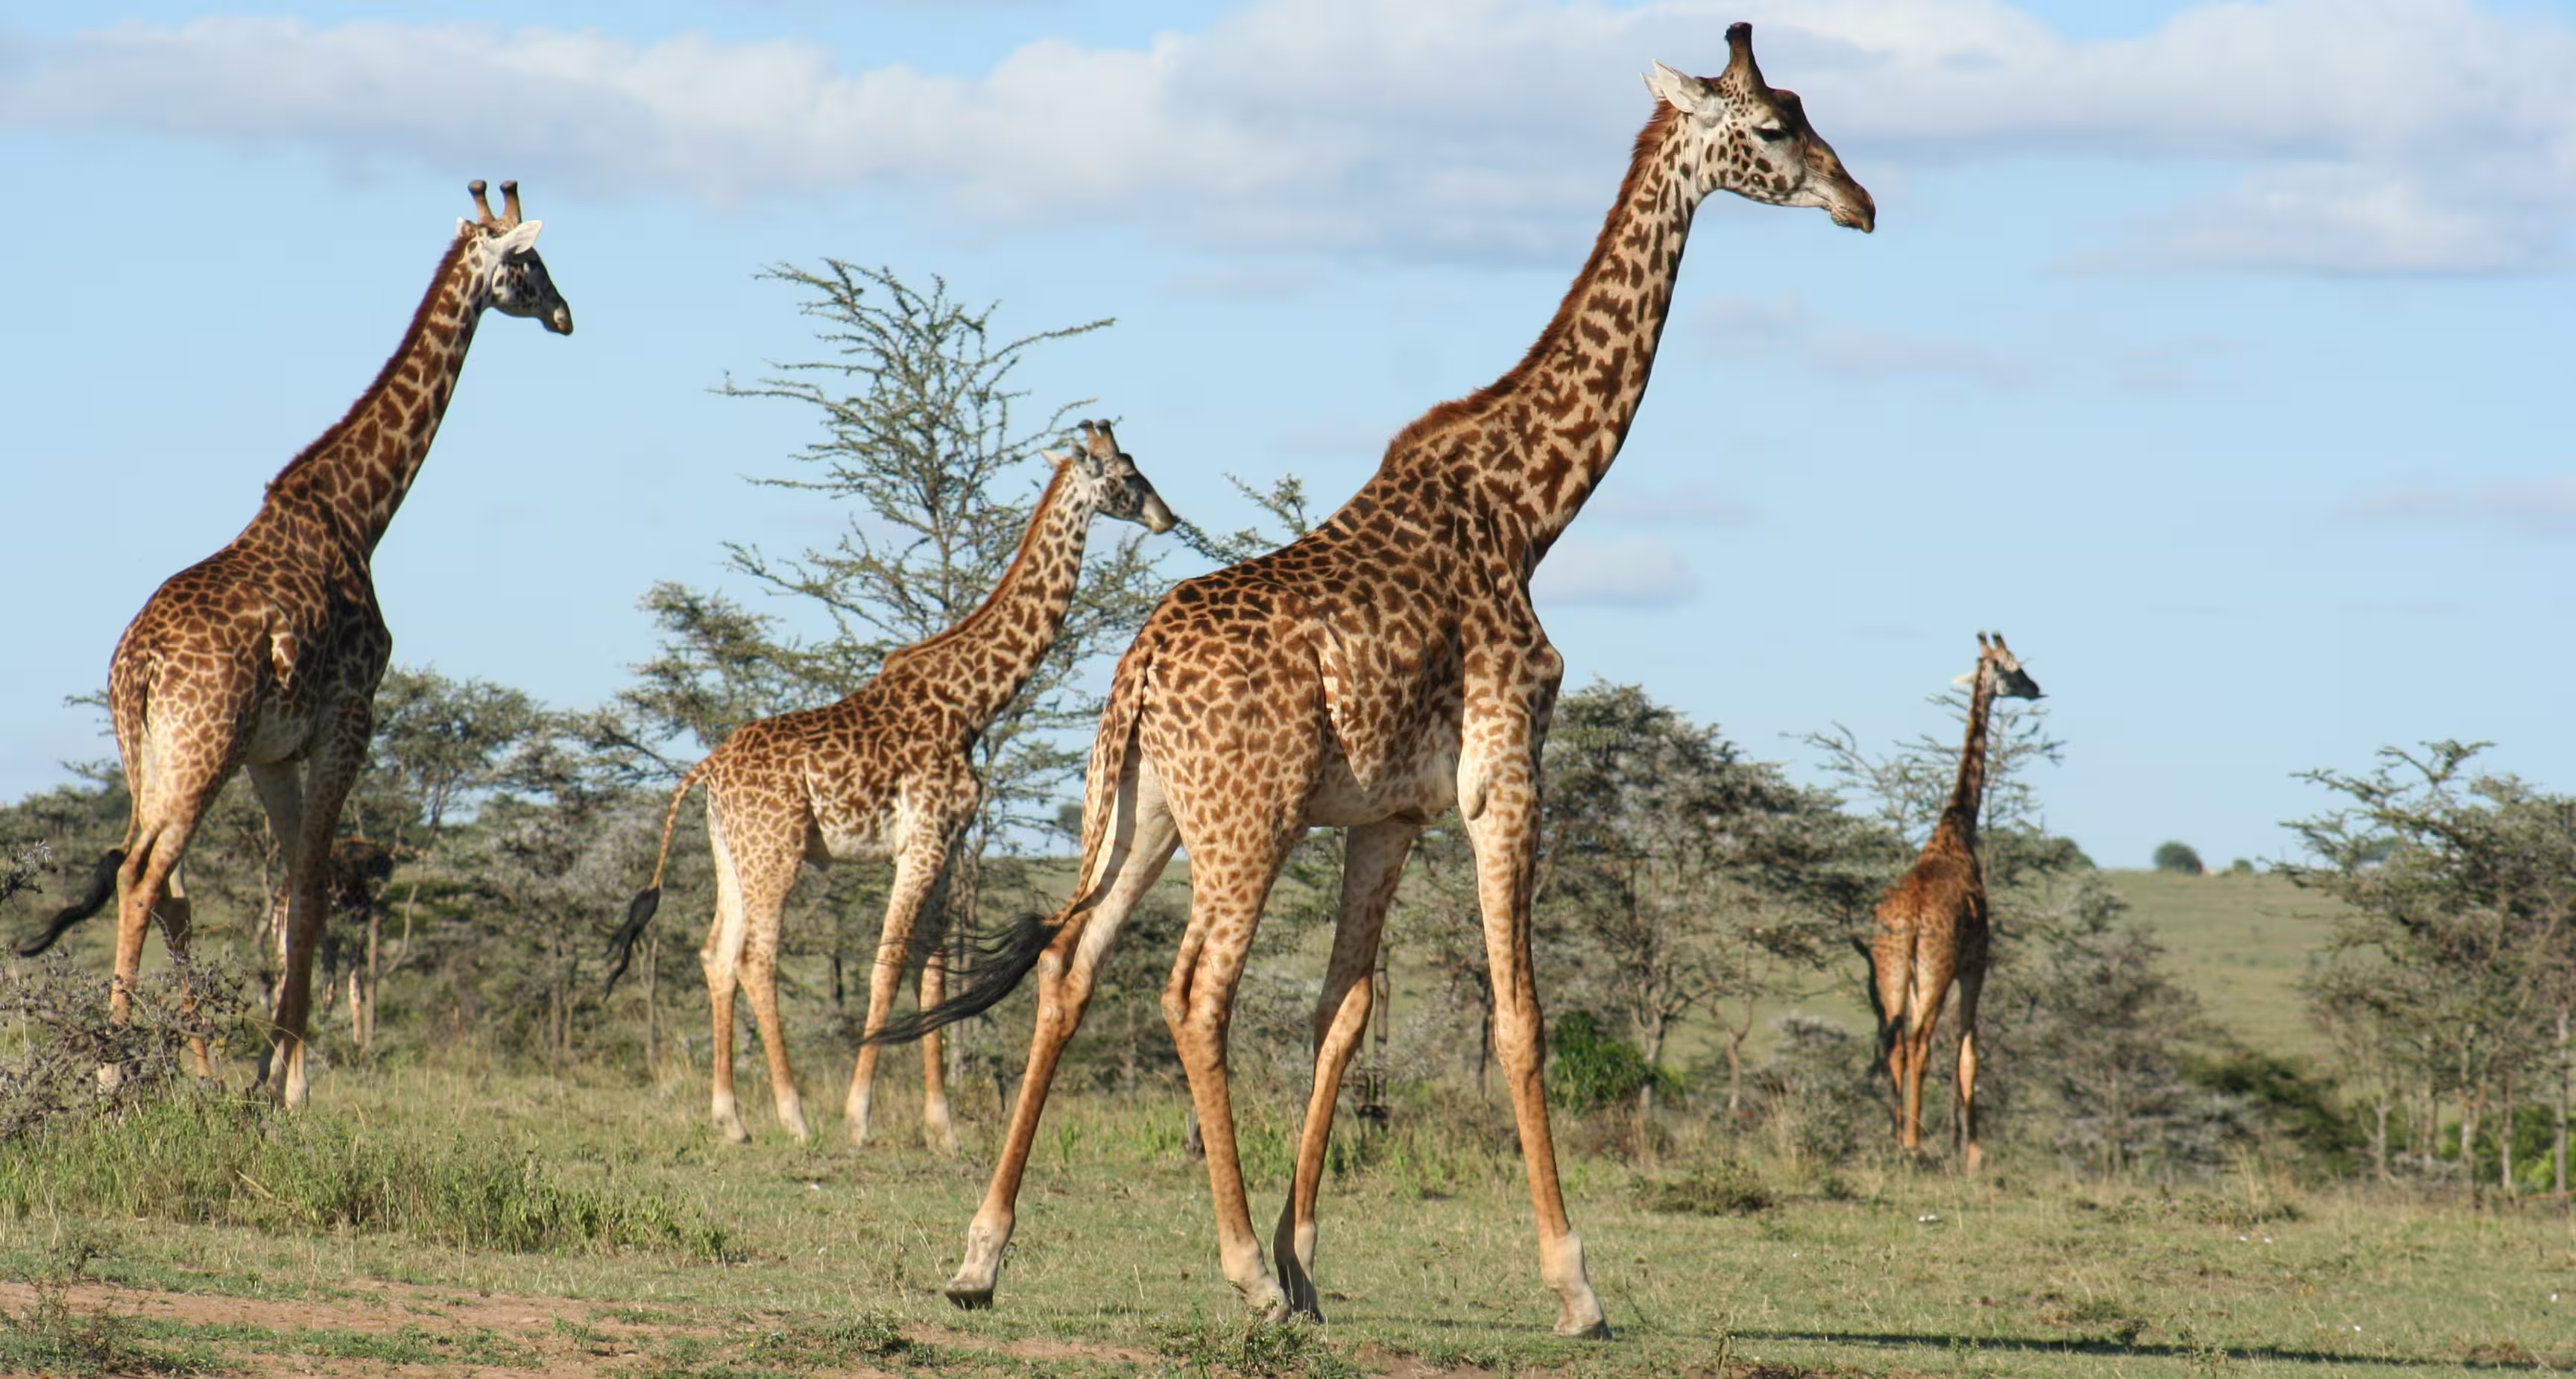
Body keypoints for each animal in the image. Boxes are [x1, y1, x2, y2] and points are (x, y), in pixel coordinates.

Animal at [16, 182, 572, 1106]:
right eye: (527, 261)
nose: (566, 313)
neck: (358, 514)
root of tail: (137, 668)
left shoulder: (275, 752)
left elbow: (287, 889)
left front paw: (268, 1069)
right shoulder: (352, 714)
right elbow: (311, 885)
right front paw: (292, 1080)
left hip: (148, 754)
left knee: (162, 882)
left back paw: (177, 1065)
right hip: (203, 750)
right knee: (144, 875)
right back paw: (111, 1068)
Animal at [605, 421, 1176, 1151]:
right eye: (1127, 476)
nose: (1168, 517)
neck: (972, 701)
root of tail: (705, 770)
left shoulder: (946, 844)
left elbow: (930, 971)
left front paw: (943, 1127)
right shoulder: (922, 842)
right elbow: (886, 965)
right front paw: (859, 1115)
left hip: (733, 854)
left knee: (715, 954)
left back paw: (731, 1119)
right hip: (777, 852)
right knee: (756, 958)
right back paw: (794, 1115)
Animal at [867, 24, 1873, 1336]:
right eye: (1771, 127)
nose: (1860, 202)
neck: (1527, 510)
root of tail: (1137, 675)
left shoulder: (1388, 815)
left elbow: (1341, 1013)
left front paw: (1309, 1270)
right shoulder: (1506, 774)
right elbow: (1519, 1017)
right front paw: (1573, 1283)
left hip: (1141, 811)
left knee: (1069, 972)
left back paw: (983, 1256)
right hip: (1246, 819)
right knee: (1193, 992)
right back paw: (1236, 1266)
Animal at [1861, 631, 2041, 1174]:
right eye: (2014, 667)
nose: (2037, 689)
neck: (1956, 828)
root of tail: (1909, 921)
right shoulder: (1975, 963)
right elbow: (1970, 1055)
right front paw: (1974, 1155)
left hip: (1891, 969)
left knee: (1894, 1042)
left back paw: (1897, 1138)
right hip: (1936, 968)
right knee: (1919, 1043)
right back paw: (1914, 1143)